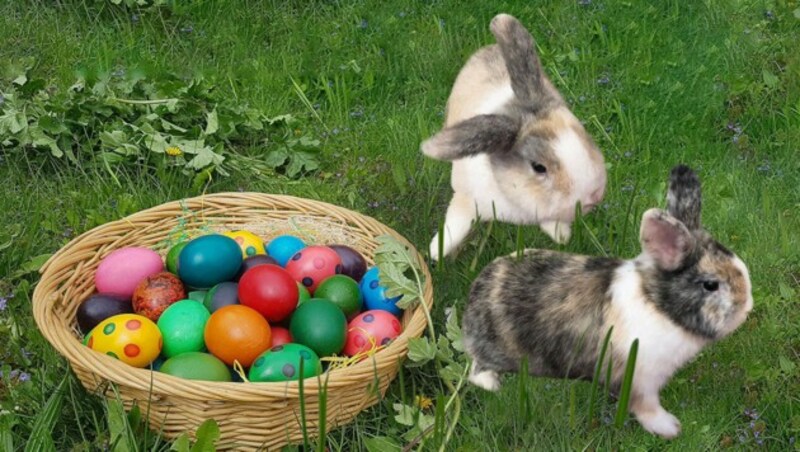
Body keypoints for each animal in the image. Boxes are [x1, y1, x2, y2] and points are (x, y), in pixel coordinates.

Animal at [422, 14, 604, 262]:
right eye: (538, 167)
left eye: (581, 133)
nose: (595, 195)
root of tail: (488, 48)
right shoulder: (465, 198)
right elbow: (455, 223)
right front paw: (436, 252)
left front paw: (561, 236)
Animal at [460, 165, 752, 438]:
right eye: (710, 285)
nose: (747, 306)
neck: (658, 306)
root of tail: (476, 290)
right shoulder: (640, 381)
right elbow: (647, 408)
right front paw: (670, 428)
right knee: (476, 368)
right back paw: (492, 384)